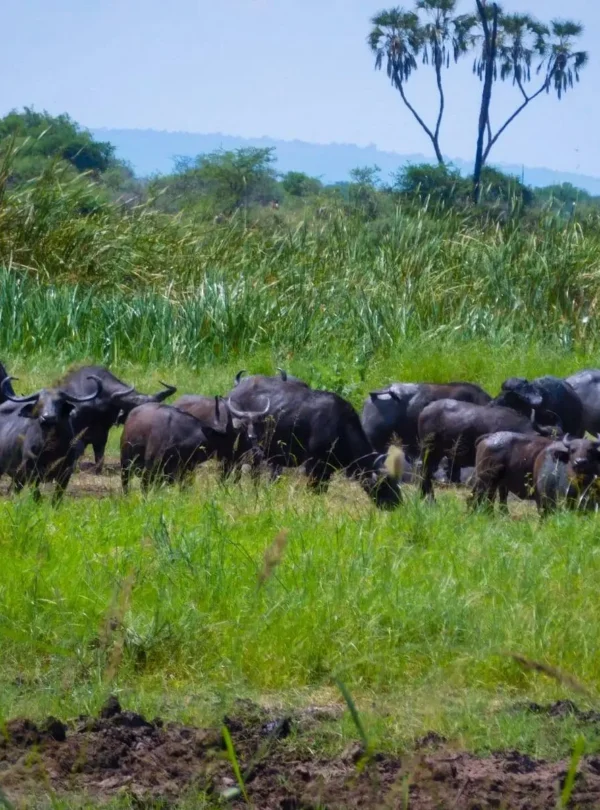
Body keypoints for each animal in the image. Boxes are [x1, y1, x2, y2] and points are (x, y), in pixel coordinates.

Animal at [225, 375, 403, 509]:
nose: (397, 503)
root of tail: (231, 394)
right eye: (385, 483)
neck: (340, 427)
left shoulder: (327, 469)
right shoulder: (313, 467)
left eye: (395, 481)